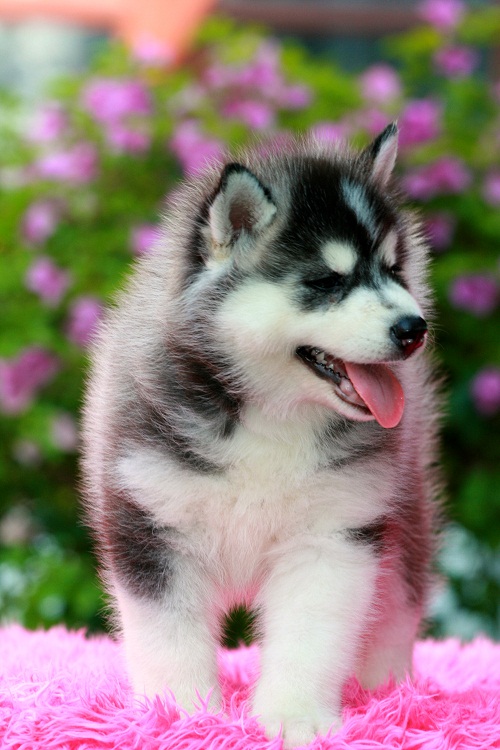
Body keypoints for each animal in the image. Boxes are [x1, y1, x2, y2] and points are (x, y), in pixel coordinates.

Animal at [81, 123, 440, 748]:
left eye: (395, 270)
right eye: (326, 281)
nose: (413, 328)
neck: (272, 417)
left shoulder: (333, 532)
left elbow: (311, 636)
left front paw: (295, 717)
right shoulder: (151, 524)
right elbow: (168, 638)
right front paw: (181, 715)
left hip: (404, 511)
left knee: (398, 599)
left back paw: (391, 693)